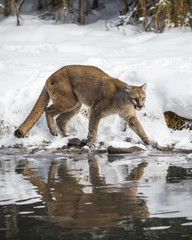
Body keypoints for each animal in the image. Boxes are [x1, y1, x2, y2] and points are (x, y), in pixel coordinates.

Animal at [14, 64, 151, 145]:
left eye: (143, 98)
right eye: (135, 99)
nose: (141, 106)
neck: (123, 102)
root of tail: (50, 76)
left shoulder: (129, 116)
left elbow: (139, 128)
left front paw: (148, 141)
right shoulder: (96, 110)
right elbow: (93, 129)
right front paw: (91, 144)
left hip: (76, 104)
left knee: (60, 119)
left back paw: (66, 135)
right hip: (69, 100)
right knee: (48, 110)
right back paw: (53, 131)